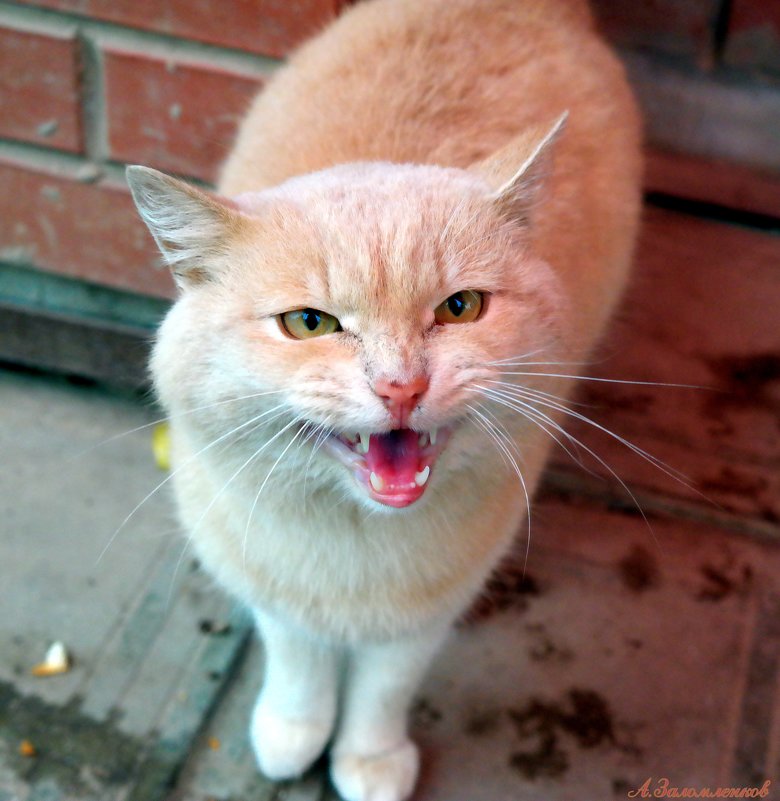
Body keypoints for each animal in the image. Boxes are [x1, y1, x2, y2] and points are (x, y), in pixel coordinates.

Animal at [126, 1, 640, 800]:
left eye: (460, 308)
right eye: (310, 324)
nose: (402, 385)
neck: (355, 533)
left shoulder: (425, 612)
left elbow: (384, 686)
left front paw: (368, 758)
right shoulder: (271, 581)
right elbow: (297, 658)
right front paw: (294, 730)